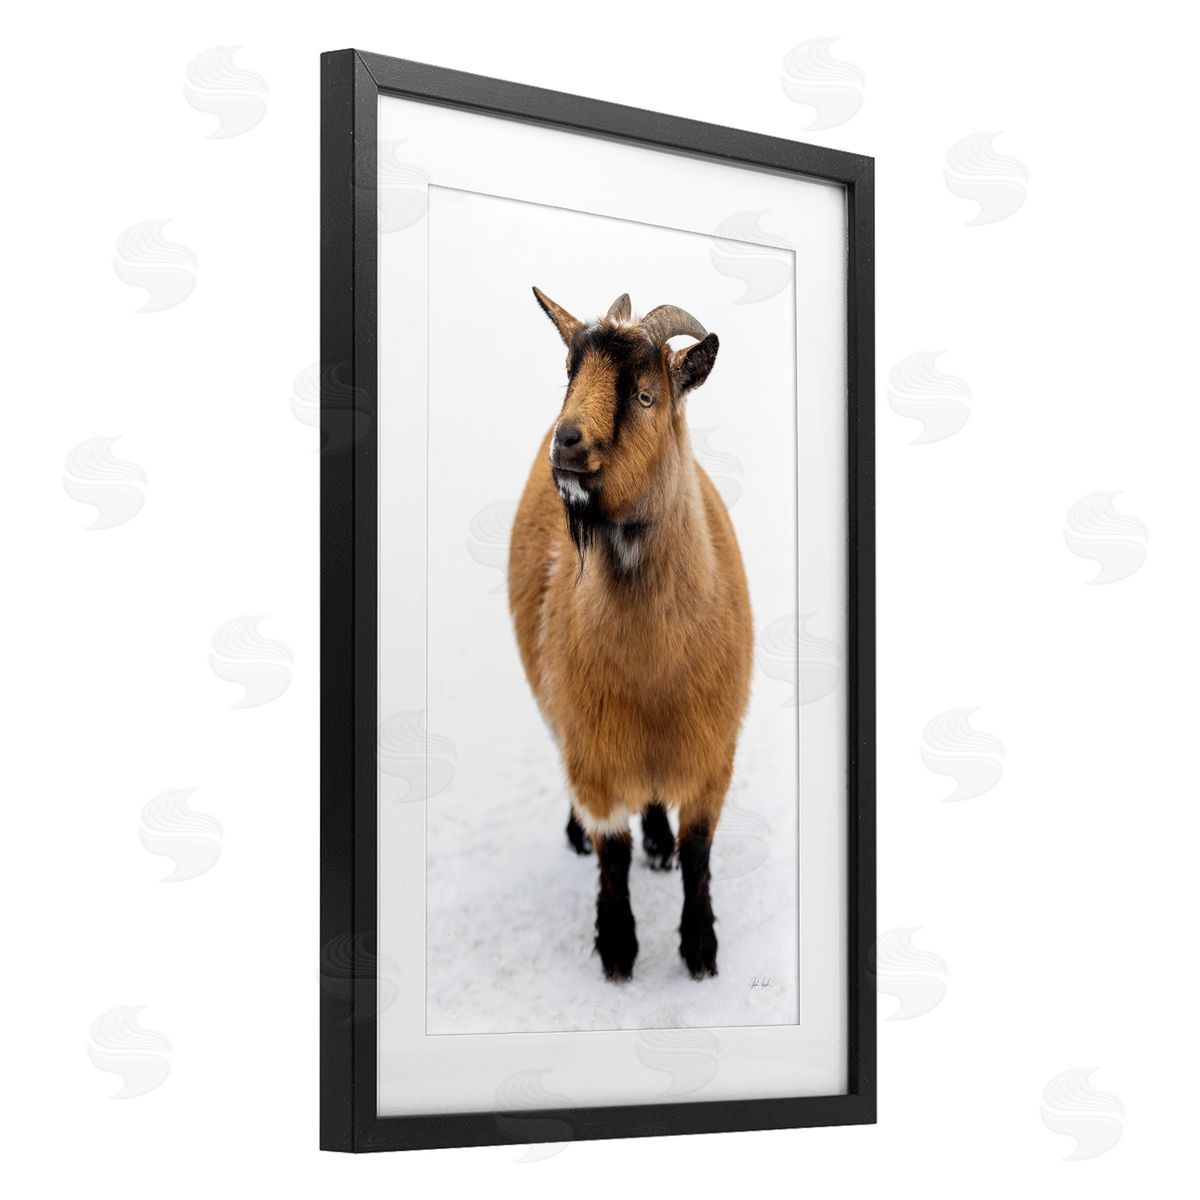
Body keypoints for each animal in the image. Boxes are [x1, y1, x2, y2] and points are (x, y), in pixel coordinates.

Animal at [508, 287, 752, 981]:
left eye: (645, 395)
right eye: (570, 374)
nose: (567, 441)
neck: (652, 673)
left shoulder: (712, 752)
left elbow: (699, 851)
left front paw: (700, 951)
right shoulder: (594, 746)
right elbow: (611, 852)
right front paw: (617, 949)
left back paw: (658, 843)